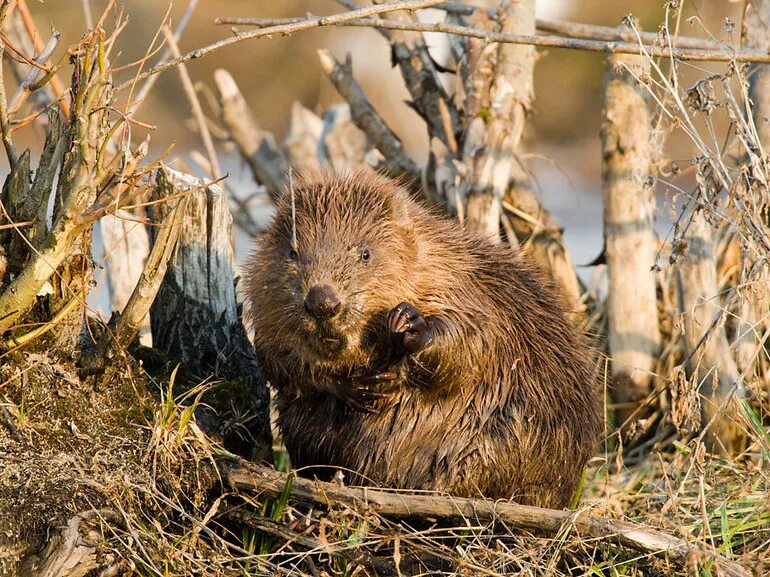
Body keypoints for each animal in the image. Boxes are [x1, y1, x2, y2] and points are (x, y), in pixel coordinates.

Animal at [246, 169, 600, 506]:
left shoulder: (460, 282)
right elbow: (278, 363)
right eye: (292, 252)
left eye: (365, 254)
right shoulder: (264, 310)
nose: (322, 302)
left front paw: (408, 324)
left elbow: (471, 339)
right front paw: (357, 387)